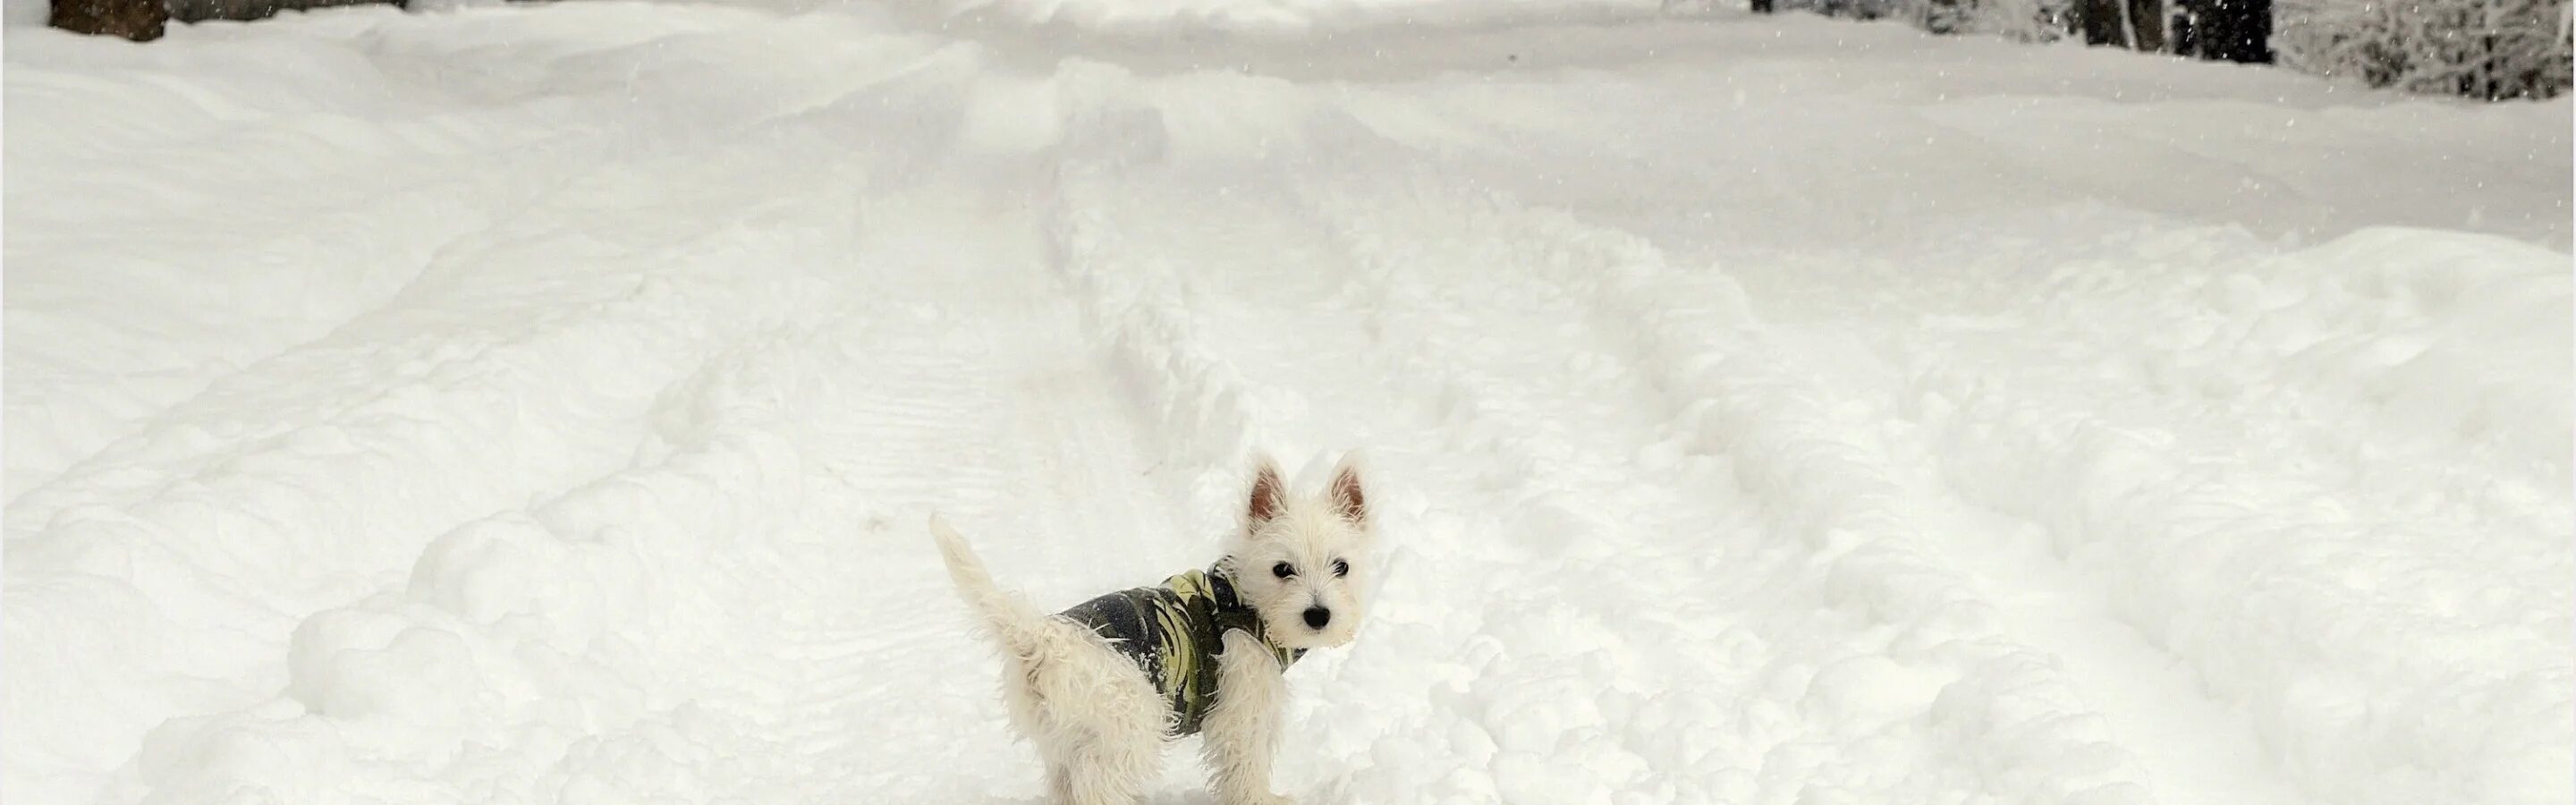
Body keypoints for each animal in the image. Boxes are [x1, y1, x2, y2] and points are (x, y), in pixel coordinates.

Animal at [922, 453, 1370, 805]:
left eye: (1342, 566)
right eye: (1282, 569)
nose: (1318, 615)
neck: (1246, 600)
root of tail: (1043, 640)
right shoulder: (1241, 707)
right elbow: (1247, 763)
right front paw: (1261, 799)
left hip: (1068, 740)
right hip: (1130, 725)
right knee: (1098, 788)